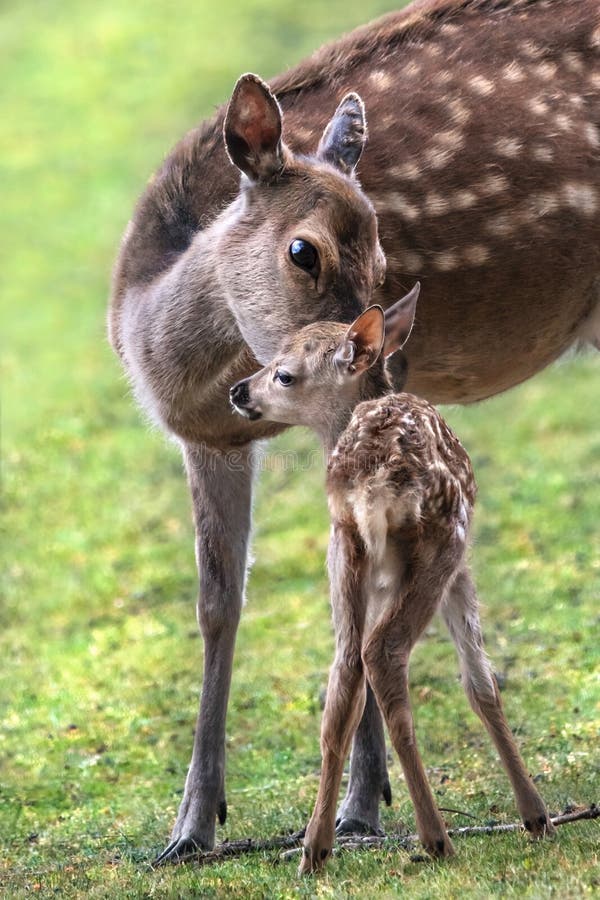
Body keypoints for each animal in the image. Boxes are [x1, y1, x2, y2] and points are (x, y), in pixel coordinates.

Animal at [109, 0, 600, 860]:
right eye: (303, 250)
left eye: (382, 260)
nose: (378, 359)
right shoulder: (208, 441)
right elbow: (217, 604)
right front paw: (192, 826)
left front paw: (362, 809)